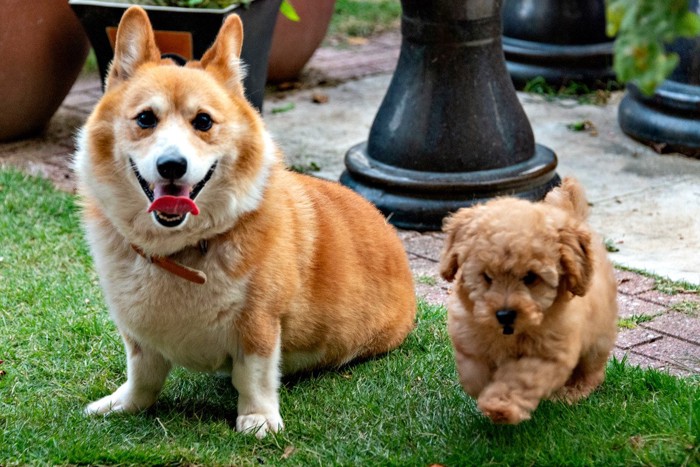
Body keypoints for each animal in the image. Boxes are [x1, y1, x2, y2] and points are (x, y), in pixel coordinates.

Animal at [75, 6, 416, 438]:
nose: (172, 166)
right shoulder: (138, 337)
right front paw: (124, 404)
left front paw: (257, 418)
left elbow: (253, 374)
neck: (180, 250)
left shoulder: (259, 323)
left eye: (203, 122)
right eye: (145, 119)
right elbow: (142, 373)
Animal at [440, 178, 616, 424]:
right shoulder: (468, 335)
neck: (509, 335)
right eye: (487, 276)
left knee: (592, 370)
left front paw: (500, 406)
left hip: (598, 340)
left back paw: (573, 390)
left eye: (530, 277)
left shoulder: (549, 354)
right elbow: (473, 370)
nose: (504, 314)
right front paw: (483, 386)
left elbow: (520, 379)